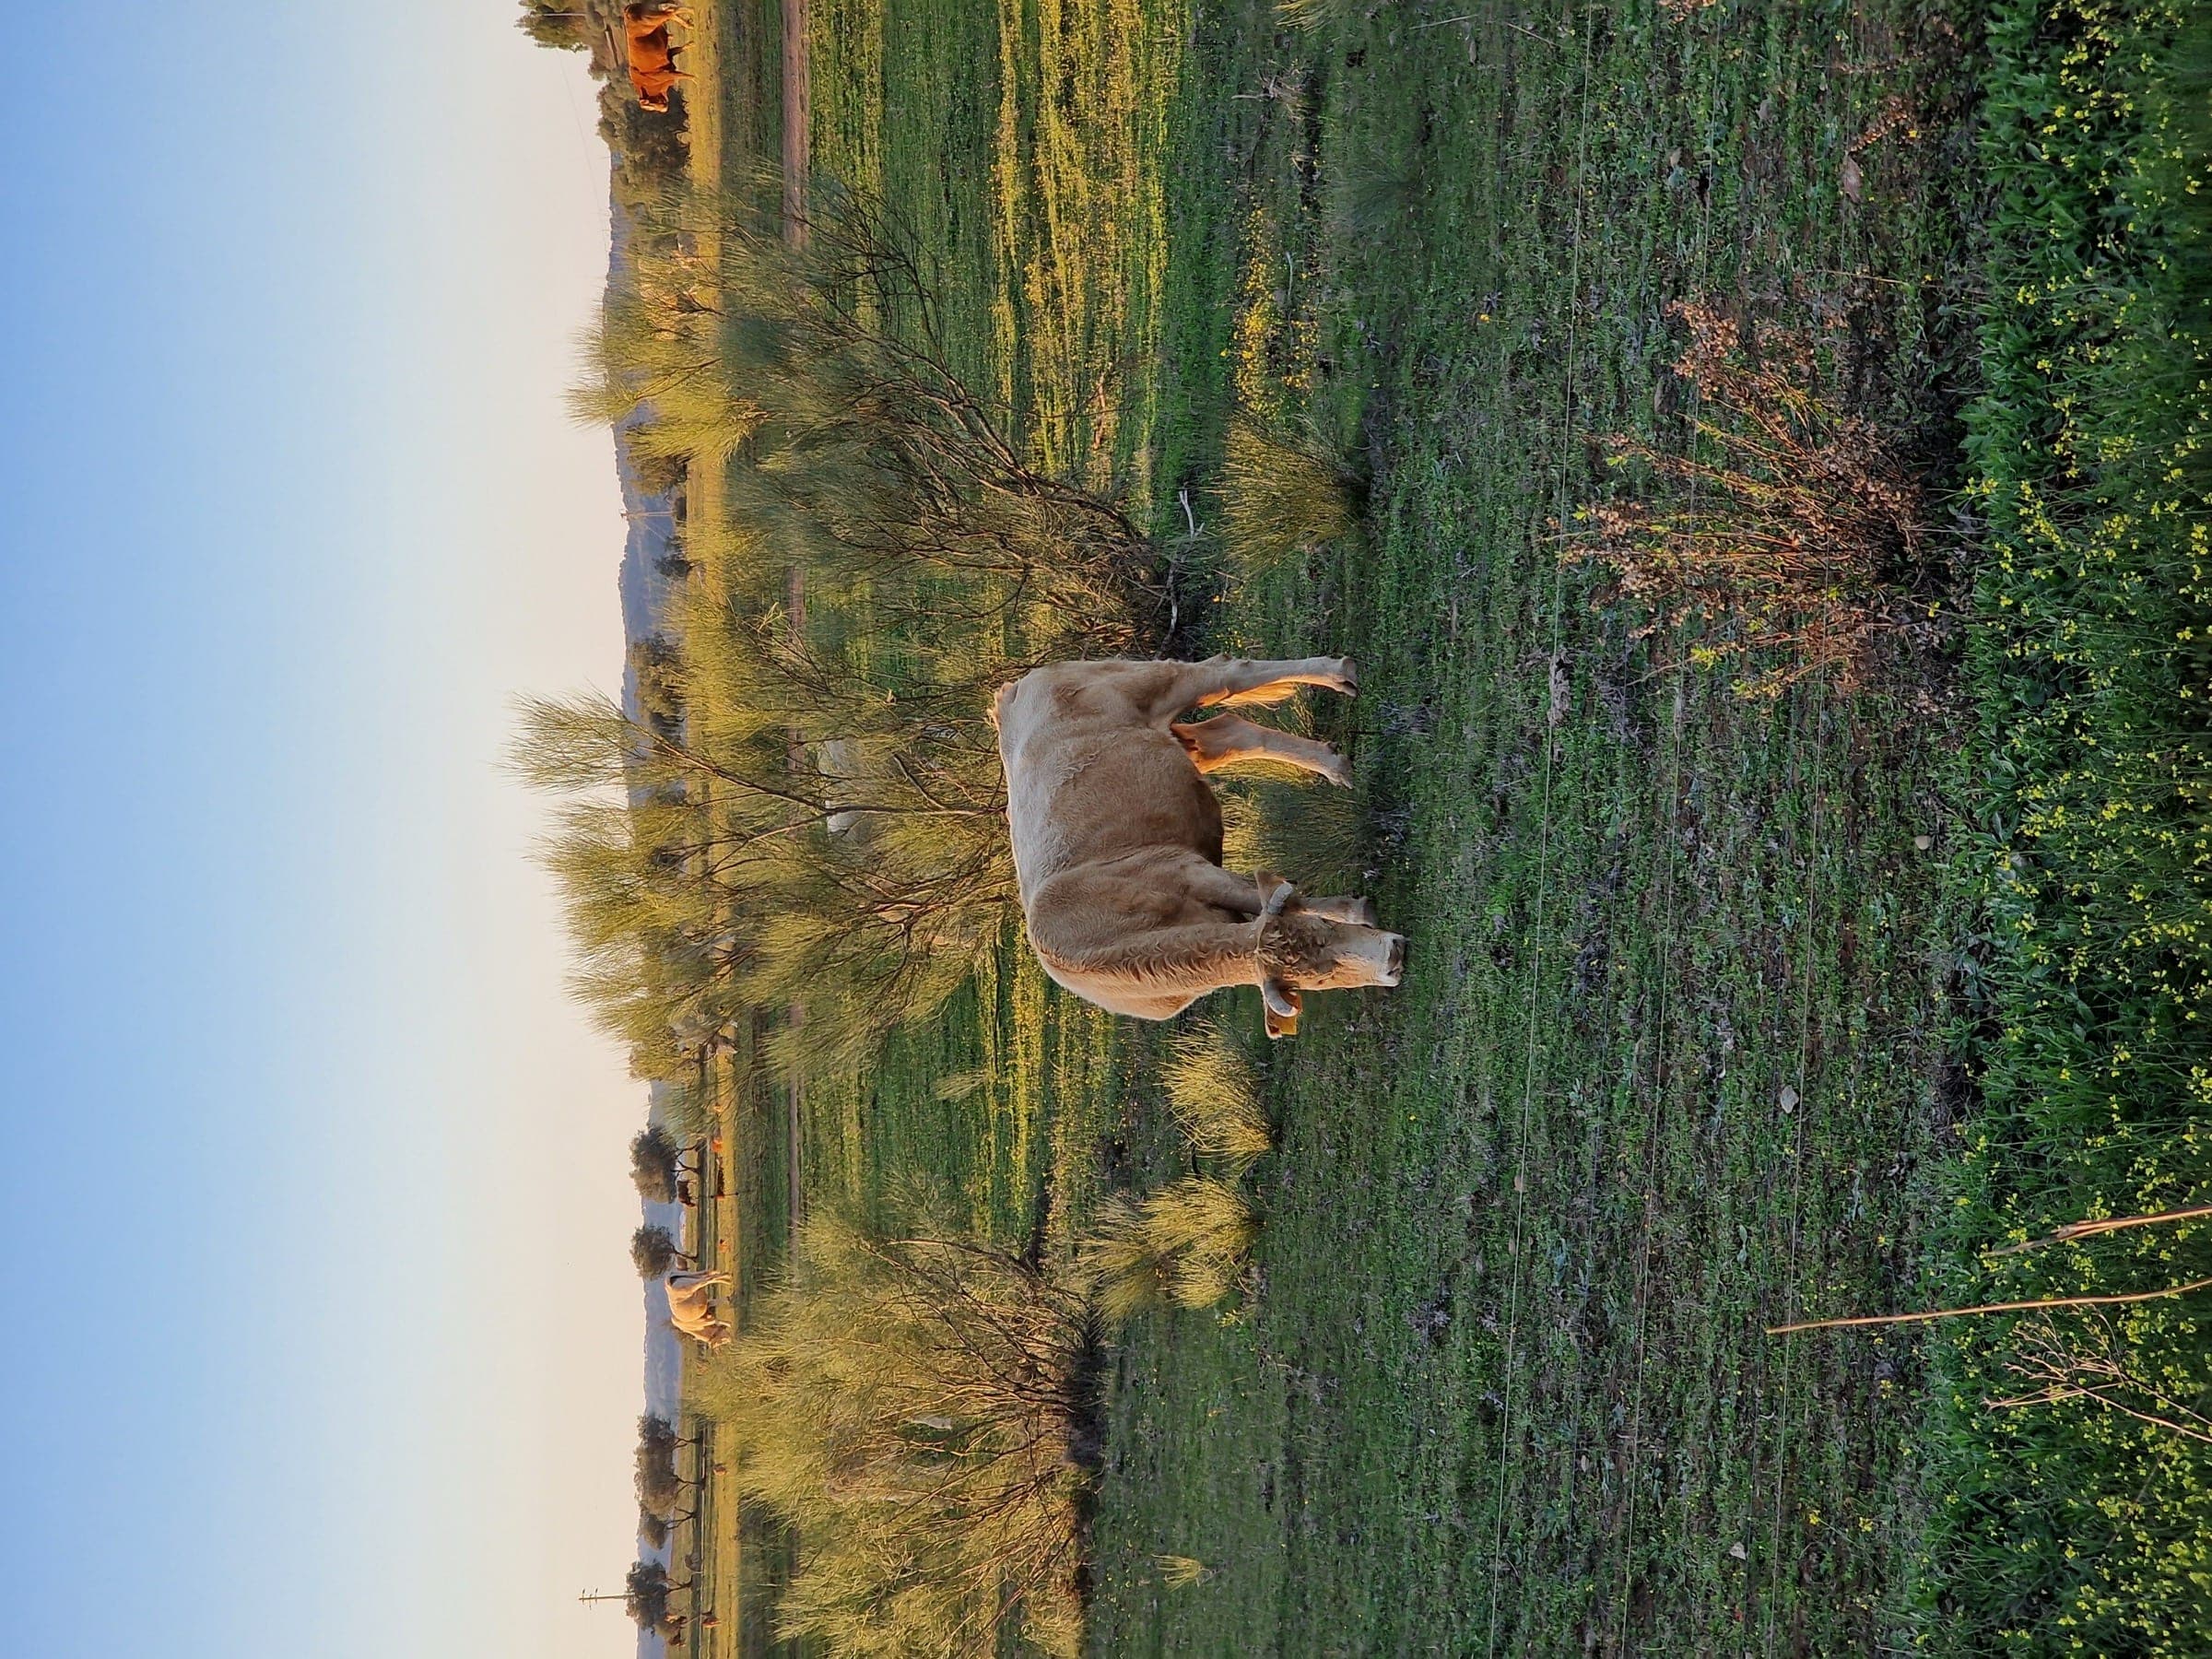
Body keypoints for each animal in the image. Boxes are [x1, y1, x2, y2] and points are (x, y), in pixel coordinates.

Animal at [993, 656, 1405, 1039]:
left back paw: (1340, 674)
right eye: (1320, 979)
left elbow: (1264, 894)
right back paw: (1334, 763)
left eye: (1325, 931)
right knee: (1226, 734)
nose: (1394, 955)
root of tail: (1014, 690)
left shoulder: (1187, 869)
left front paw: (1358, 910)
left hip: (1151, 682)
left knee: (1229, 673)